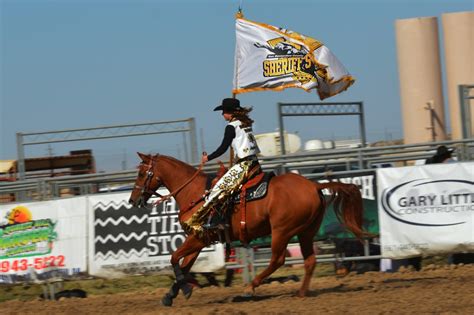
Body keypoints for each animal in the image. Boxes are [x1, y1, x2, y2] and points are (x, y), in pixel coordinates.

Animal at [129, 153, 366, 306]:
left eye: (141, 173)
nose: (133, 200)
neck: (195, 193)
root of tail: (314, 185)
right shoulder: (197, 239)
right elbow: (184, 266)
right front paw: (171, 295)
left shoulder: (199, 239)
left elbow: (174, 258)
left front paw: (185, 289)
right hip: (306, 232)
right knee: (309, 260)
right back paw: (300, 293)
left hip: (281, 231)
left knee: (277, 260)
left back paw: (250, 288)